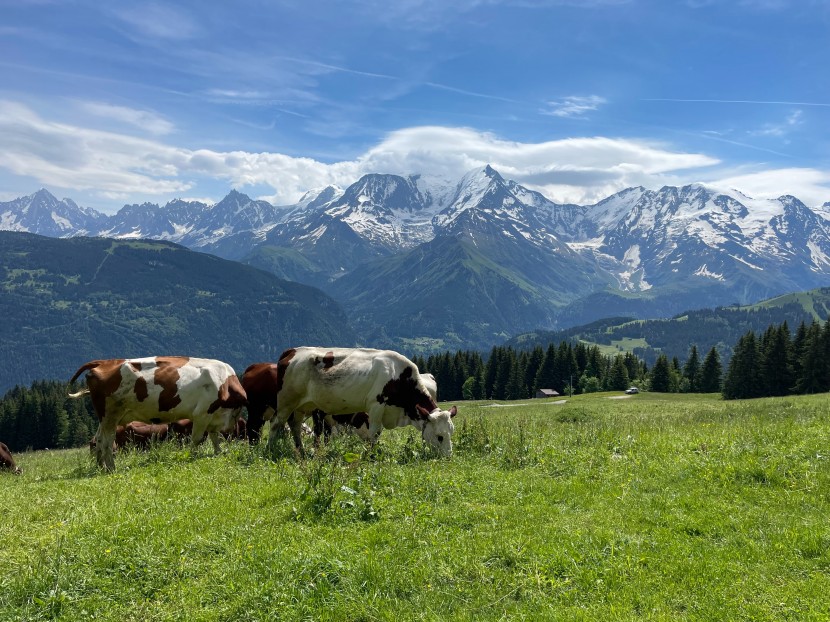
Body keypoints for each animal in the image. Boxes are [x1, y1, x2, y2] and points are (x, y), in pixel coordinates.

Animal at [70, 356, 247, 472]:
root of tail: (104, 362)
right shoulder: (202, 413)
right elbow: (196, 440)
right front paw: (192, 455)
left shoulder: (213, 417)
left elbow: (214, 437)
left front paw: (218, 453)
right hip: (110, 415)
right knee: (107, 441)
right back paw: (111, 468)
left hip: (105, 417)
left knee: (99, 440)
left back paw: (101, 467)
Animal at [270, 346, 458, 458]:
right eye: (440, 437)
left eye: (451, 432)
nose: (448, 457)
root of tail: (294, 350)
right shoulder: (376, 405)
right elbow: (374, 433)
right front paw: (370, 455)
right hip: (286, 401)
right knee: (275, 424)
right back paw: (268, 450)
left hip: (303, 406)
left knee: (295, 426)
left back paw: (301, 452)